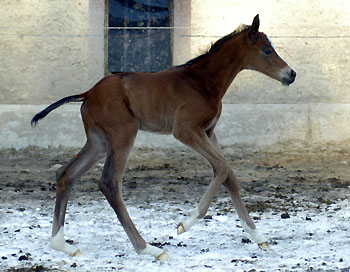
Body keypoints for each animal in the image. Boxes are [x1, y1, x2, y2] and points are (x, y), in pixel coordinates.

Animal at [32, 14, 296, 260]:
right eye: (267, 50)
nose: (291, 74)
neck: (203, 82)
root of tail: (87, 93)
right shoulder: (186, 130)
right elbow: (221, 168)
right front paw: (185, 224)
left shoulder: (209, 132)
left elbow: (228, 174)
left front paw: (259, 237)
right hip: (123, 135)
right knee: (109, 183)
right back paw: (149, 248)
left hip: (99, 141)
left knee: (66, 174)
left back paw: (62, 244)